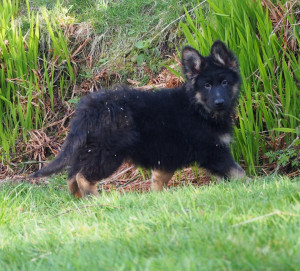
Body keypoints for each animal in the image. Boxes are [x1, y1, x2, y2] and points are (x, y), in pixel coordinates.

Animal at [30, 40, 246, 198]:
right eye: (207, 85)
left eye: (225, 82)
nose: (219, 102)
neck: (198, 107)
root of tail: (90, 108)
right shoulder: (213, 151)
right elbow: (238, 172)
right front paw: (251, 186)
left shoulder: (167, 156)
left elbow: (159, 181)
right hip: (108, 152)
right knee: (83, 176)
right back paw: (97, 199)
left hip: (87, 148)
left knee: (72, 176)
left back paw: (81, 202)